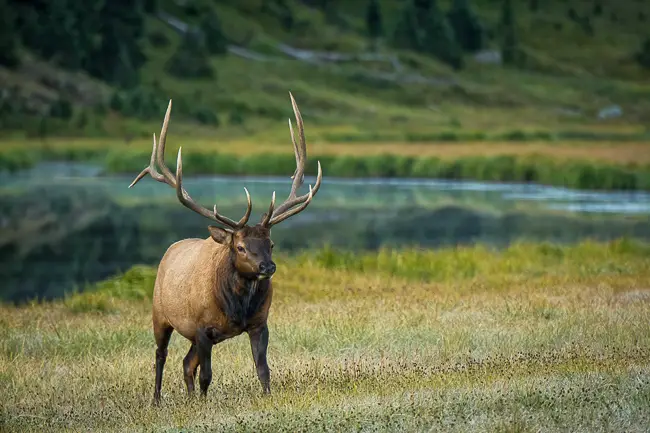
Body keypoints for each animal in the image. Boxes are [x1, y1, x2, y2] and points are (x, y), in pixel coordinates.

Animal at [128, 92, 323, 404]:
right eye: (240, 247)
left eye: (271, 243)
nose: (267, 266)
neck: (236, 308)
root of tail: (170, 251)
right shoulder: (202, 327)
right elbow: (207, 375)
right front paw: (205, 404)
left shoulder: (259, 323)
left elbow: (263, 369)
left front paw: (267, 398)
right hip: (160, 313)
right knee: (161, 355)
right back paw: (157, 400)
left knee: (186, 363)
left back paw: (189, 398)